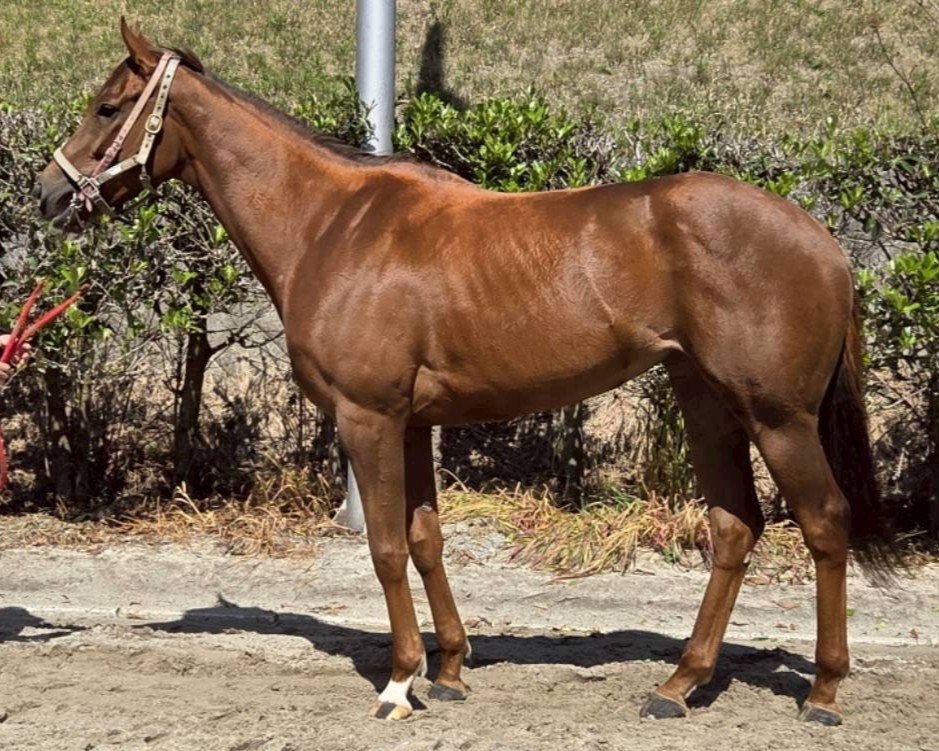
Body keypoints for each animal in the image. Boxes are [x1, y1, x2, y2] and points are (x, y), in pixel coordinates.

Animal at [35, 19, 895, 726]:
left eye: (109, 107)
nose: (47, 194)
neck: (330, 224)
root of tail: (820, 238)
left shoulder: (369, 417)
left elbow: (385, 545)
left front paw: (398, 681)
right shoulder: (413, 422)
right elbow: (424, 538)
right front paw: (448, 669)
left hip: (777, 417)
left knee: (823, 521)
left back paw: (822, 690)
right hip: (706, 402)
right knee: (733, 526)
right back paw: (678, 684)